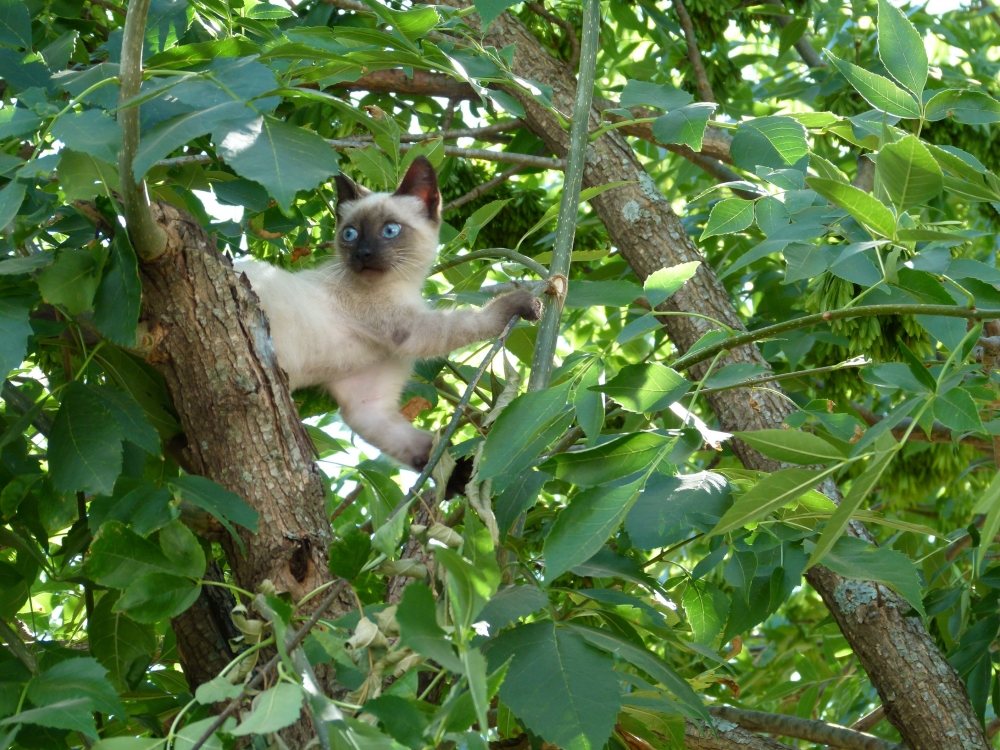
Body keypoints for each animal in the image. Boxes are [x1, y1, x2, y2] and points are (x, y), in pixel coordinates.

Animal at [234, 156, 544, 468]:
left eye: (390, 230)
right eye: (350, 234)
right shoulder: (412, 330)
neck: (406, 286)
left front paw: (463, 472)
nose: (363, 254)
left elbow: (426, 451)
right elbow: (470, 321)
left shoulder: (368, 405)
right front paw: (523, 303)